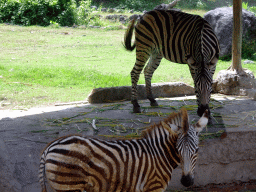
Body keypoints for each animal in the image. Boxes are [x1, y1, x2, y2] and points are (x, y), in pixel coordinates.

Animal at [39, 109, 209, 191]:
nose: (186, 182)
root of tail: (49, 147)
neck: (159, 154)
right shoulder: (154, 186)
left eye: (196, 150)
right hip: (69, 184)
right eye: (177, 150)